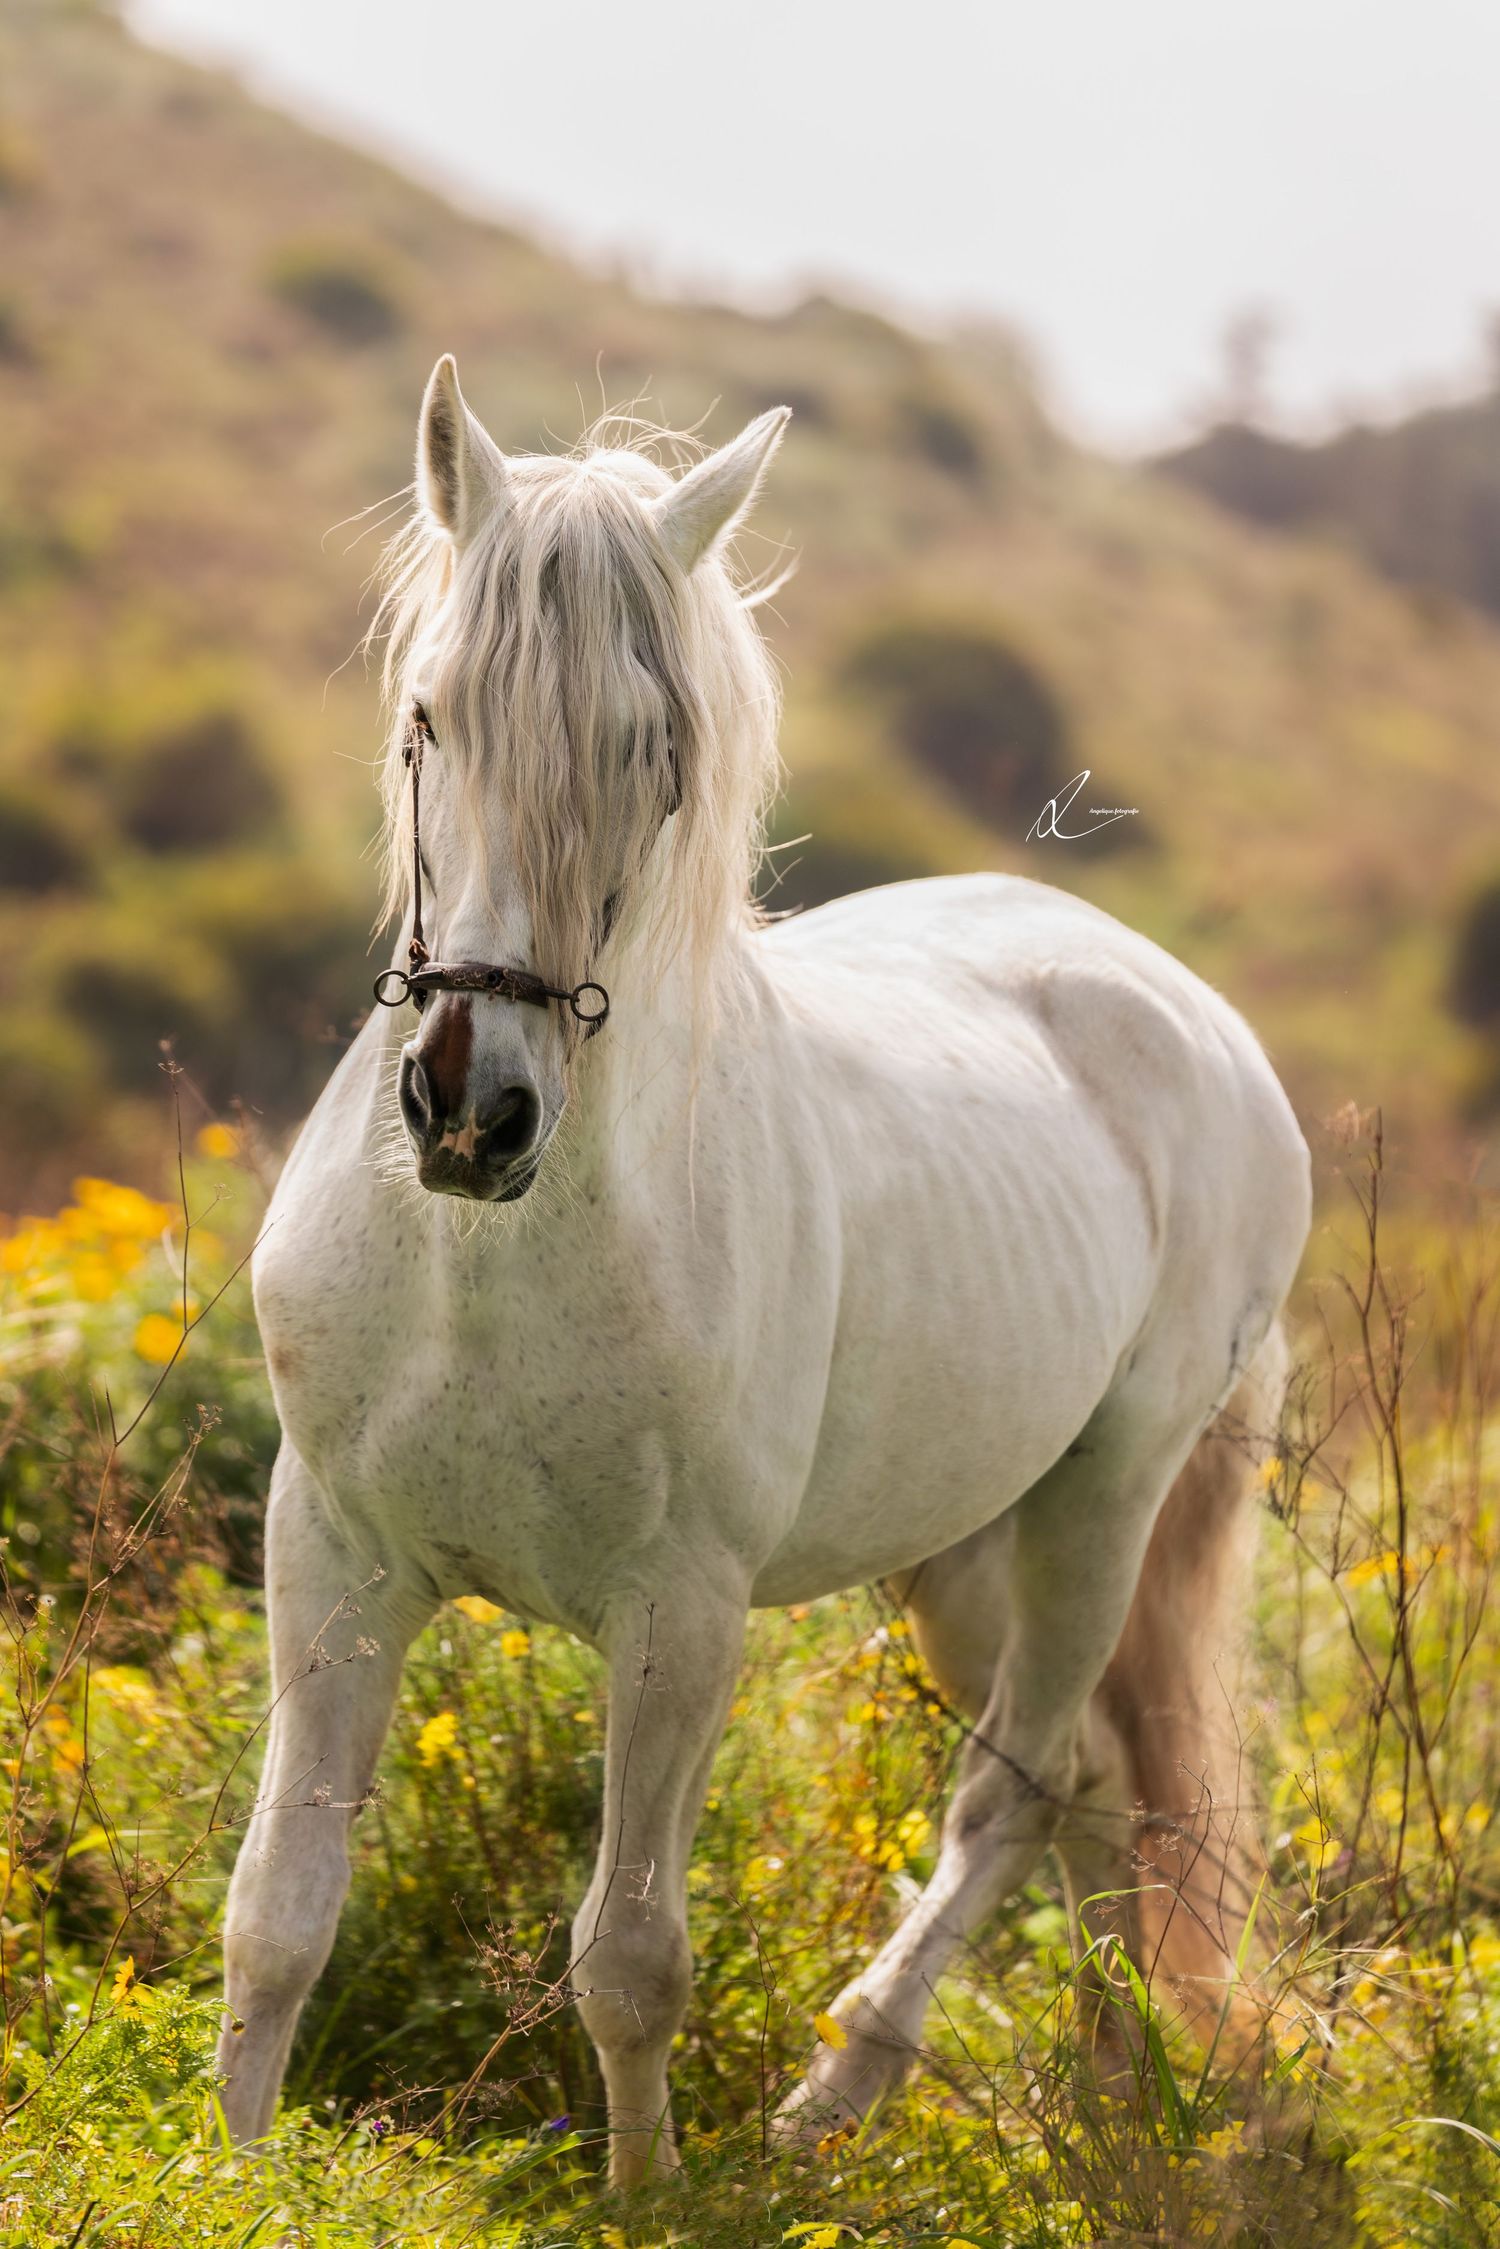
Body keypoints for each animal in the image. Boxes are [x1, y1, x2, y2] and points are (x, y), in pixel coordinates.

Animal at [216, 355, 1311, 2185]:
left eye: (653, 754)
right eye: (429, 717)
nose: (470, 1108)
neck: (480, 1265)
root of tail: (1184, 1007)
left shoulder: (682, 1614)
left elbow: (629, 1952)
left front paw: (651, 2194)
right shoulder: (337, 1557)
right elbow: (281, 1906)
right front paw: (223, 2164)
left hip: (1105, 1503)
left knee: (1019, 1789)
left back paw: (840, 2098)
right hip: (960, 1549)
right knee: (1093, 1795)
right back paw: (1117, 2103)